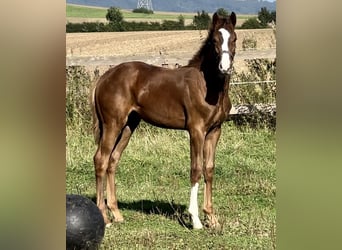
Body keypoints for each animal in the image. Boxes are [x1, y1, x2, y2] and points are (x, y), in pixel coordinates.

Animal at [92, 12, 236, 229]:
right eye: (214, 41)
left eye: (234, 38)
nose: (225, 67)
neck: (207, 86)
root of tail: (104, 77)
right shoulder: (196, 130)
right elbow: (196, 169)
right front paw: (195, 220)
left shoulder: (215, 130)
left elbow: (209, 169)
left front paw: (211, 218)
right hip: (113, 124)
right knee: (101, 159)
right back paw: (104, 217)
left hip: (128, 125)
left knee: (113, 160)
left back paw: (116, 213)